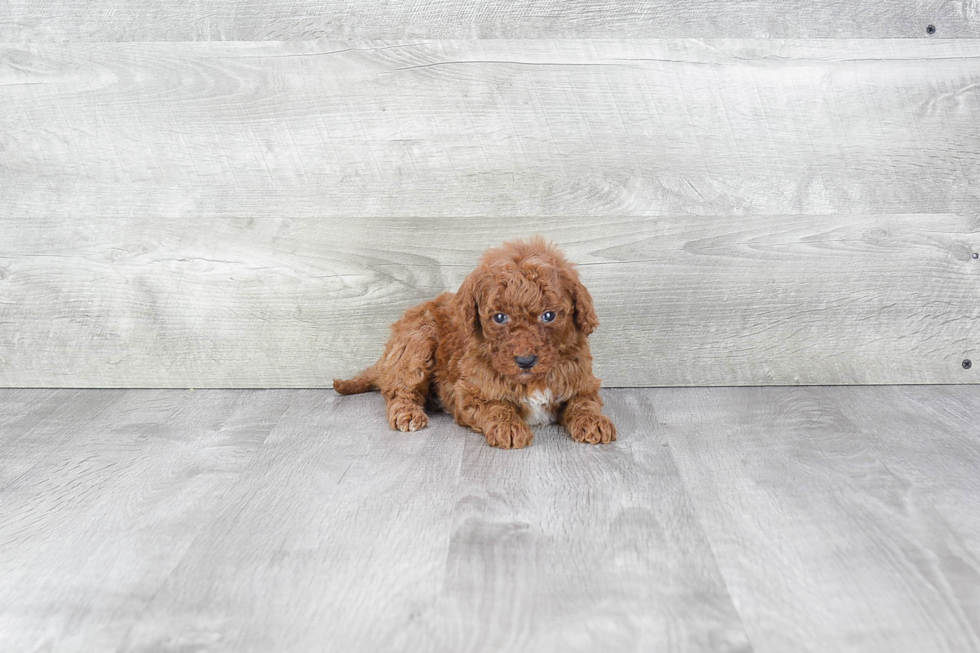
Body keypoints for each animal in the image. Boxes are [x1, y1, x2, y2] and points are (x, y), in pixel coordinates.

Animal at [334, 236, 616, 448]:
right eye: (499, 317)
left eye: (549, 315)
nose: (525, 361)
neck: (530, 381)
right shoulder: (470, 393)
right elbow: (496, 406)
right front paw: (508, 426)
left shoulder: (582, 383)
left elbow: (584, 402)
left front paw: (594, 421)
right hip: (416, 343)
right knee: (399, 391)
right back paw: (409, 414)